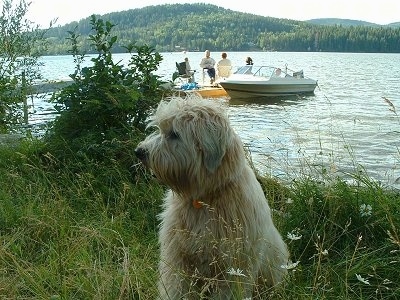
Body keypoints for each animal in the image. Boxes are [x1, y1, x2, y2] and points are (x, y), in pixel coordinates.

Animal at [136, 97, 290, 298]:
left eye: (174, 134)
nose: (139, 151)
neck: (203, 200)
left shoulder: (233, 267)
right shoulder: (178, 258)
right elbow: (176, 287)